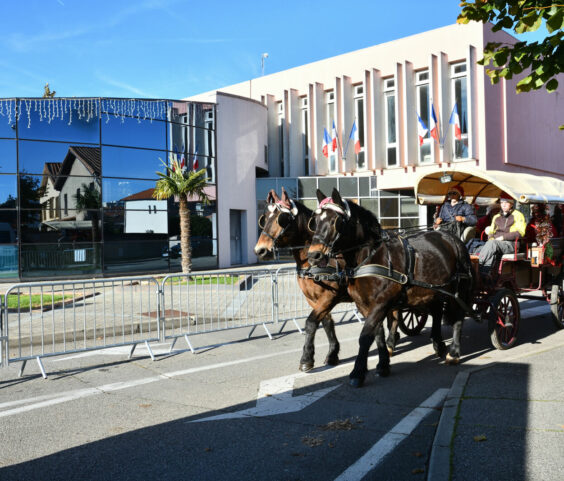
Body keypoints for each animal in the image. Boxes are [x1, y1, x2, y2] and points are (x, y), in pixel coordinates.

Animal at [253, 188, 398, 372]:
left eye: (282, 218)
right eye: (264, 218)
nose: (260, 250)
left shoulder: (330, 296)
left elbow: (311, 322)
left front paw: (306, 358)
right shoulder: (313, 299)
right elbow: (326, 323)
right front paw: (332, 353)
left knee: (395, 314)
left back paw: (391, 343)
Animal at [306, 188, 474, 386]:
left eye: (336, 221)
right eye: (315, 221)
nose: (314, 255)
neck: (370, 257)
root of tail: (453, 238)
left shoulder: (381, 303)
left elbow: (365, 336)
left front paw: (357, 372)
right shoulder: (364, 305)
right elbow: (377, 333)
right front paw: (383, 364)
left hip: (458, 290)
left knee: (458, 317)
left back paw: (454, 352)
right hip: (434, 290)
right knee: (437, 313)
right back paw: (438, 345)